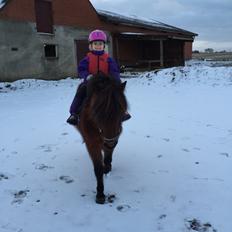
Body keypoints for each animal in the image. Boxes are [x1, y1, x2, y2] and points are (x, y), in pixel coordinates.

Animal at [75, 73, 127, 204]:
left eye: (122, 110)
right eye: (97, 111)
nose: (109, 142)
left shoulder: (113, 138)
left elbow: (108, 157)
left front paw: (107, 167)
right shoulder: (92, 143)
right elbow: (98, 168)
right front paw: (100, 194)